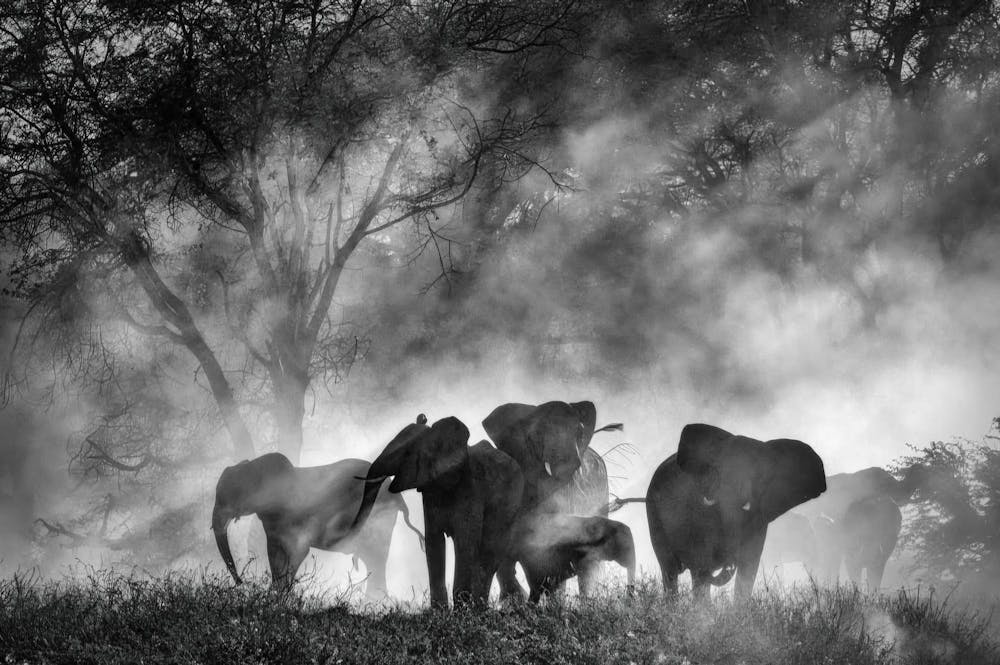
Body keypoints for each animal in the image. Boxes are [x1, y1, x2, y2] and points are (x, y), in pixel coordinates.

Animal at [211, 453, 424, 594]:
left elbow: (298, 551)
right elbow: (274, 553)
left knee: (376, 558)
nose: (242, 583)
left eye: (231, 495)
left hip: (379, 518)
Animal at [352, 415, 524, 608]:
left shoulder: (471, 489)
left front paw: (461, 611)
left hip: (510, 506)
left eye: (407, 454)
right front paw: (439, 611)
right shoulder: (430, 491)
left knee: (489, 553)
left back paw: (479, 608)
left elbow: (465, 542)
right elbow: (433, 542)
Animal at [646, 423, 827, 600]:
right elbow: (701, 561)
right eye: (718, 471)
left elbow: (749, 566)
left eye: (759, 476)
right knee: (670, 570)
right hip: (654, 515)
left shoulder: (759, 517)